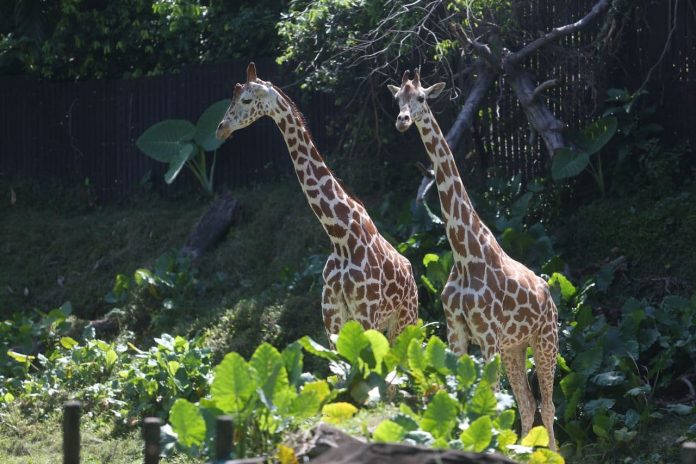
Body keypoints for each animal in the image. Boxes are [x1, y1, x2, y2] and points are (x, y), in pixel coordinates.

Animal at [215, 61, 416, 342]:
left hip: (405, 321)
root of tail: (413, 279)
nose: (220, 128)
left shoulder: (366, 313)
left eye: (245, 99)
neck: (340, 237)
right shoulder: (332, 319)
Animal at [386, 70, 560, 450]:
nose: (402, 121)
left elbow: (489, 405)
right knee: (527, 403)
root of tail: (550, 296)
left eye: (422, 98)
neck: (464, 254)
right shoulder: (458, 333)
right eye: (397, 99)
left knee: (548, 404)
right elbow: (462, 400)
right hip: (515, 347)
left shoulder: (488, 337)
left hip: (545, 340)